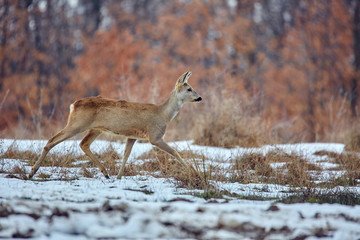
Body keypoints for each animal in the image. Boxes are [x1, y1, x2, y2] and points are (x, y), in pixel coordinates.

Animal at [28, 72, 202, 179]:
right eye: (189, 88)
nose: (200, 97)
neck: (163, 114)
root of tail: (73, 104)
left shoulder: (132, 136)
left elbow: (126, 154)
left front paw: (119, 176)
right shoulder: (155, 136)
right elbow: (175, 152)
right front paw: (193, 172)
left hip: (95, 128)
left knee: (83, 144)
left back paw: (105, 173)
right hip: (77, 123)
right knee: (52, 140)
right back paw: (32, 172)